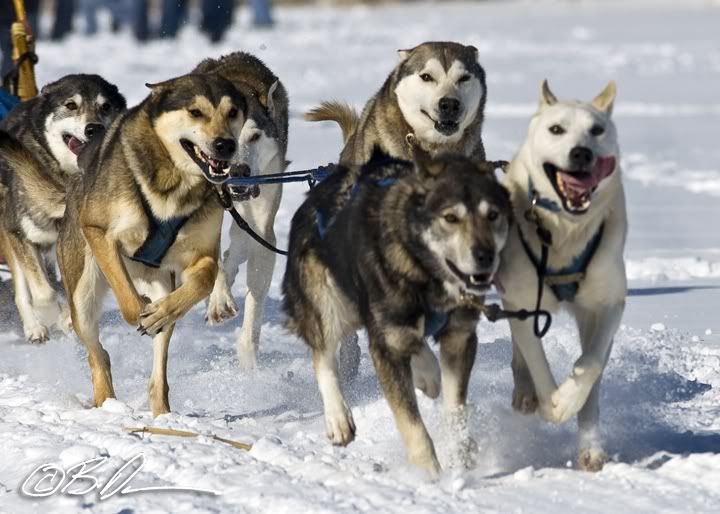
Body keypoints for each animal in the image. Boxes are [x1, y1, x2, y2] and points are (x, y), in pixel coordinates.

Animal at [498, 79, 628, 468]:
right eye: (556, 129)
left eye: (596, 130)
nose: (582, 153)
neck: (564, 233)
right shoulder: (522, 302)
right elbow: (536, 359)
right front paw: (552, 404)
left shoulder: (608, 304)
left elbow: (591, 364)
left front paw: (571, 401)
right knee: (520, 350)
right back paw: (526, 393)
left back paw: (590, 446)